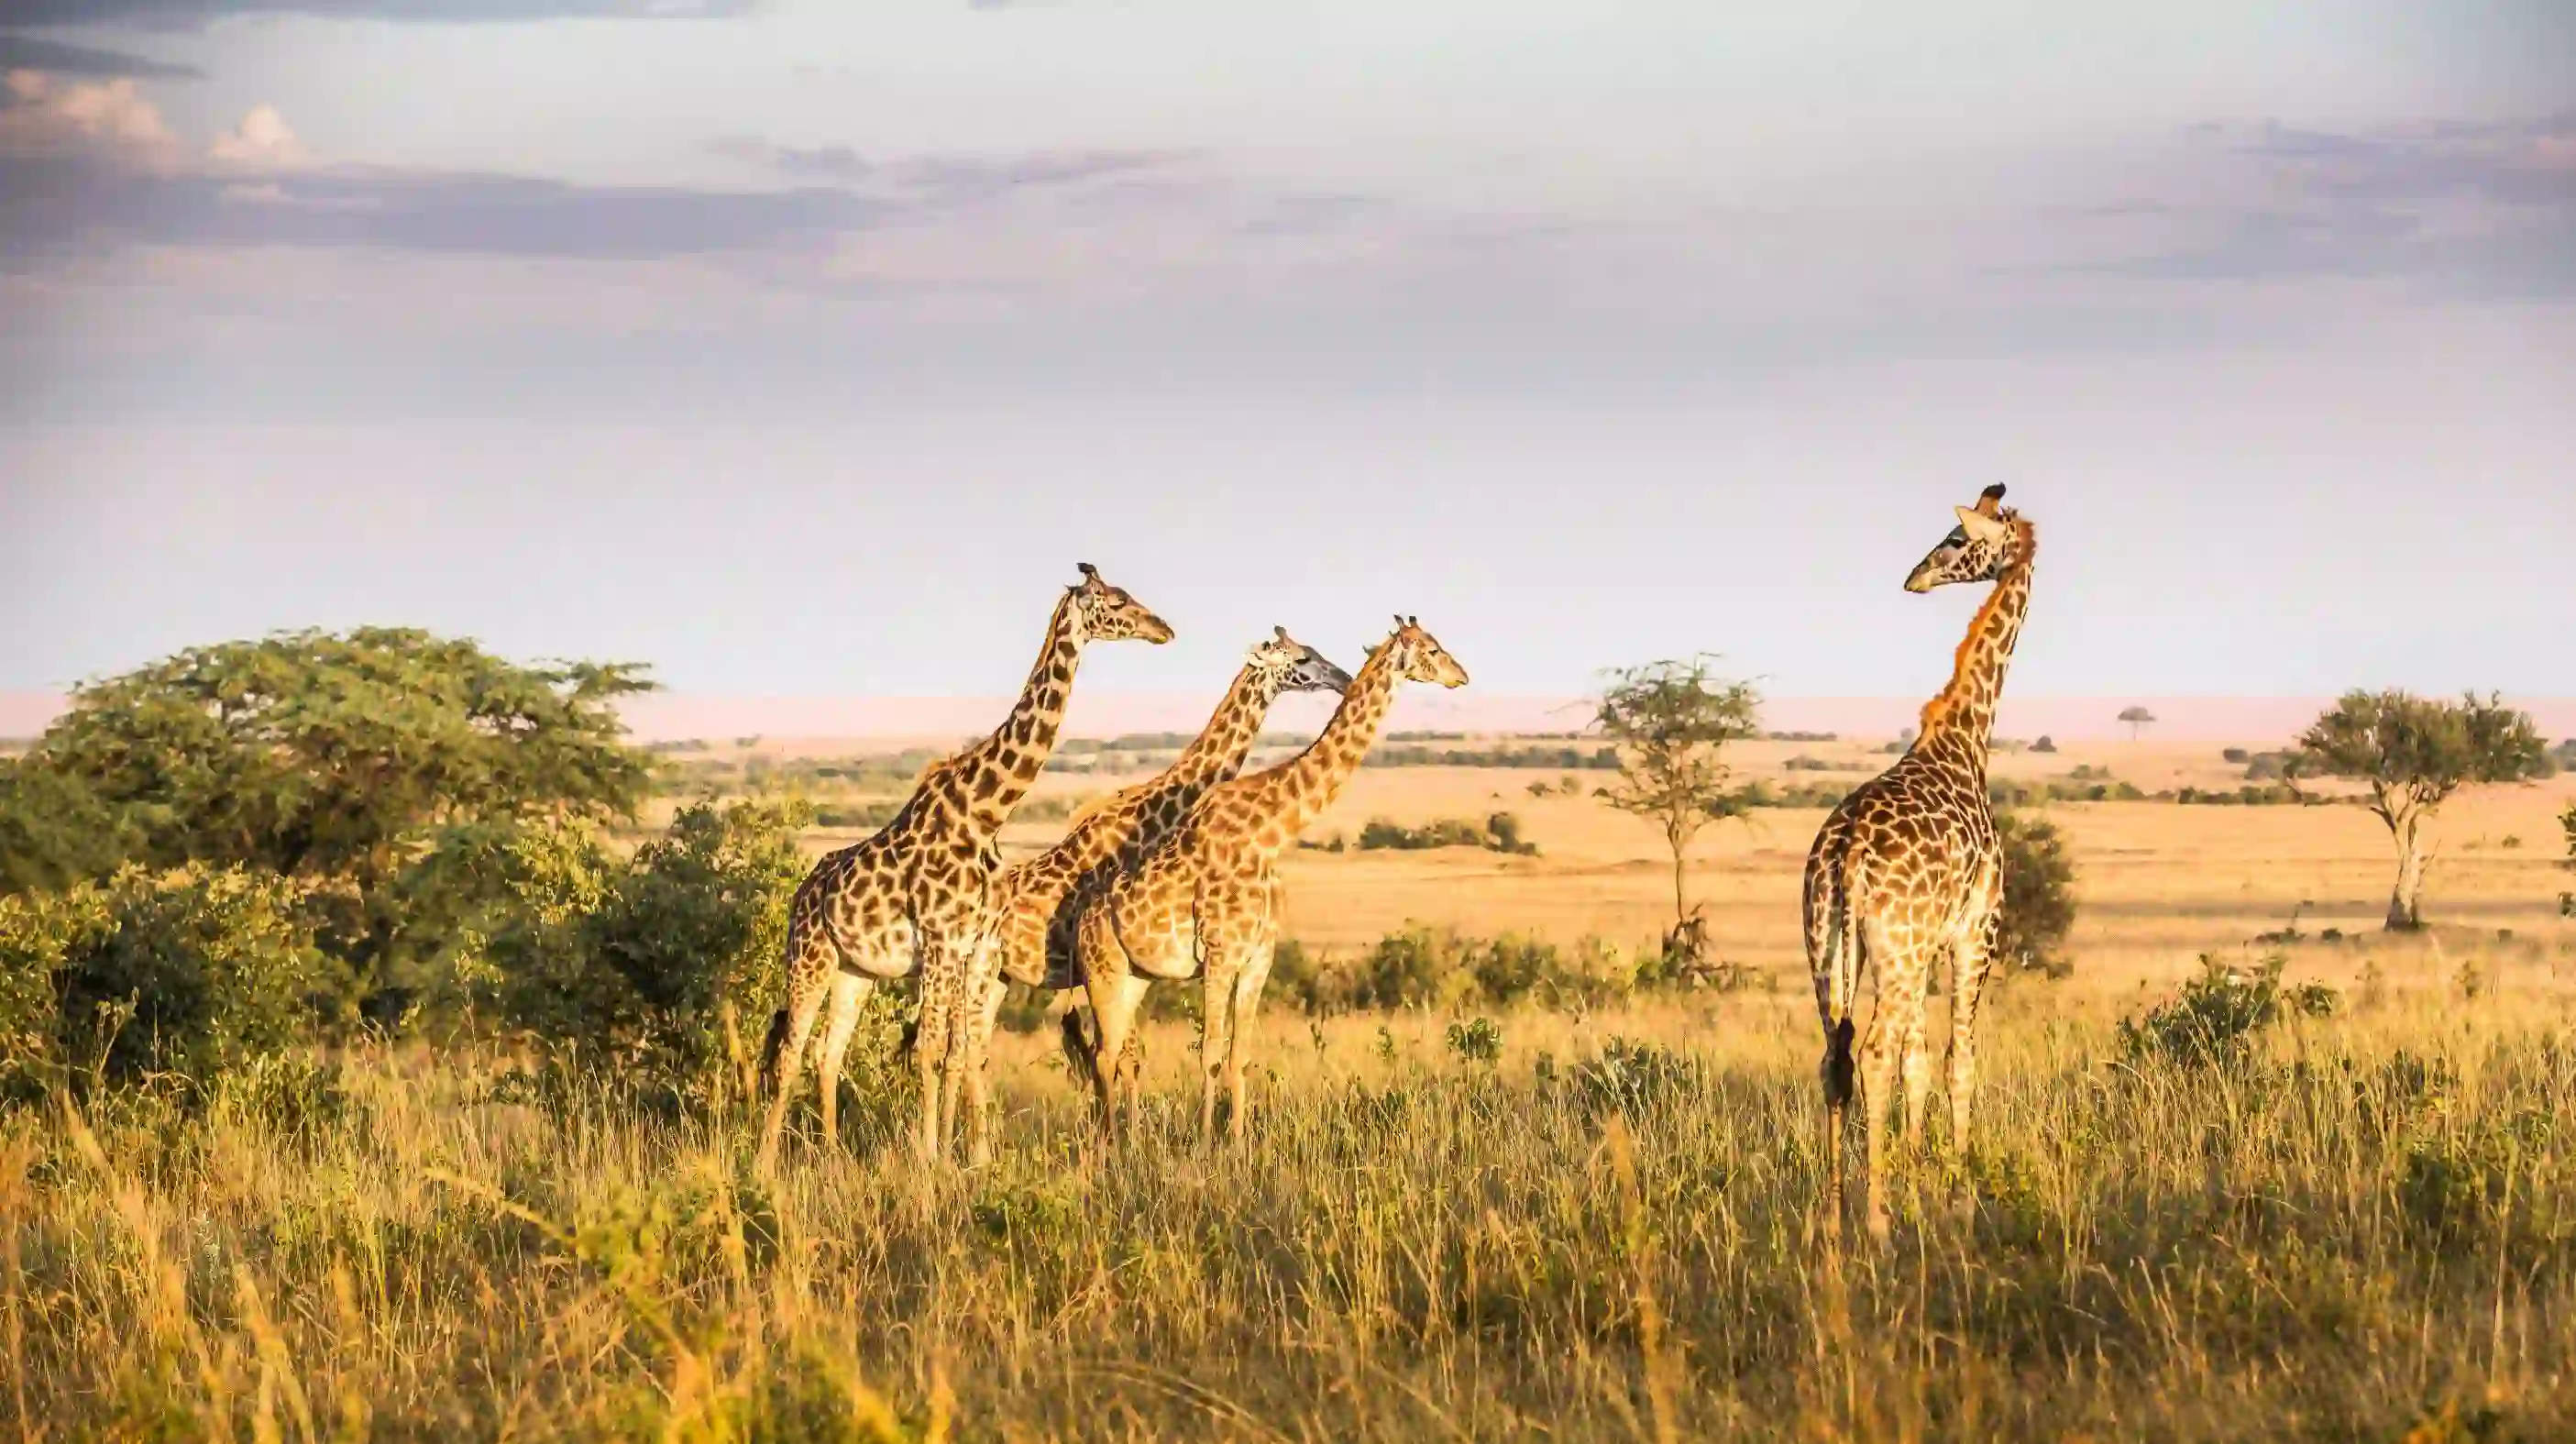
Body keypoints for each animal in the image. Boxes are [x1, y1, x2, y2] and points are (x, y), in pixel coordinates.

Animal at [755, 563, 1171, 1175]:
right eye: (1115, 599)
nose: (1163, 628)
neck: (986, 813)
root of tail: (801, 895)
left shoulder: (979, 947)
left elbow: (965, 1048)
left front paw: (973, 1157)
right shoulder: (941, 941)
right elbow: (932, 1047)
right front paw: (930, 1156)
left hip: (855, 970)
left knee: (828, 1053)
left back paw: (831, 1160)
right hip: (808, 958)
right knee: (790, 1052)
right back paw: (765, 1165)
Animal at [1070, 616, 1468, 1145]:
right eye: (1431, 648)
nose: (1462, 676)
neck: (1270, 834)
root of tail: (1082, 919)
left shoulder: (1259, 957)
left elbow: (1239, 1056)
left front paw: (1238, 1145)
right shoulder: (1219, 956)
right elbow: (1210, 1053)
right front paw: (1203, 1146)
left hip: (1135, 977)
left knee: (1111, 1054)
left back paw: (1123, 1143)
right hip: (1103, 973)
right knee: (1103, 1055)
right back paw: (1112, 1147)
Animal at [1804, 483, 2037, 1244]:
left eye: (1956, 541)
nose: (1915, 578)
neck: (1966, 738)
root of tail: (1845, 850)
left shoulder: (1925, 943)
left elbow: (1918, 1064)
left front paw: (1913, 1179)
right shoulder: (1974, 930)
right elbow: (1956, 1061)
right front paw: (1955, 1197)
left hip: (1830, 947)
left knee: (1837, 1059)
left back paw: (1836, 1214)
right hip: (1899, 948)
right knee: (1873, 1054)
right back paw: (1875, 1220)